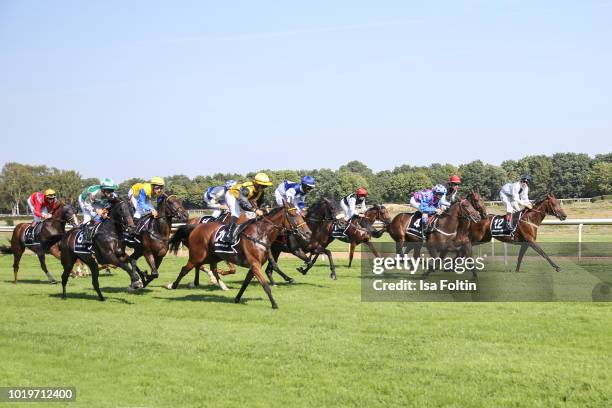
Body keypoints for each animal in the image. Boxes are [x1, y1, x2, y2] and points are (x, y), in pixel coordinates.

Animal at [166, 201, 310, 310]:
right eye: (292, 214)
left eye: (301, 214)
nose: (308, 232)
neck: (260, 234)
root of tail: (195, 226)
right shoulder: (255, 264)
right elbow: (265, 285)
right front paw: (274, 304)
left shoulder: (254, 265)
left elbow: (246, 283)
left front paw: (237, 298)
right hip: (197, 255)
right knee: (185, 269)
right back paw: (172, 285)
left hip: (213, 256)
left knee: (209, 268)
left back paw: (217, 284)